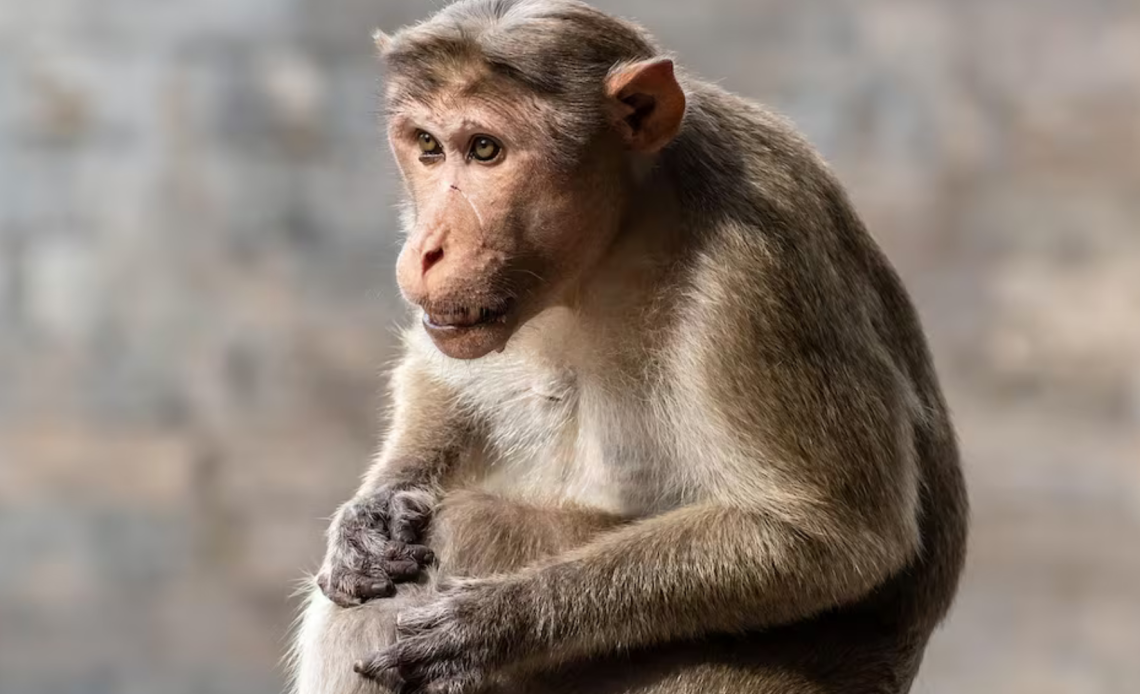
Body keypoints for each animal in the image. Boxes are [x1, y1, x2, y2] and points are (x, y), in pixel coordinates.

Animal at [289, 1, 968, 693]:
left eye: (484, 149)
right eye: (428, 146)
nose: (427, 248)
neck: (623, 232)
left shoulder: (760, 271)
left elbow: (835, 533)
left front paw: (497, 624)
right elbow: (443, 380)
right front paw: (369, 516)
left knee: (466, 527)